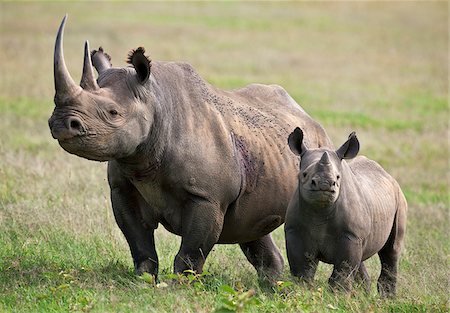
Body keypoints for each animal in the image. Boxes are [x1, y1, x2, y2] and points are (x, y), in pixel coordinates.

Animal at [48, 16, 330, 280]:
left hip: (316, 152)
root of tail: (308, 117)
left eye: (113, 112)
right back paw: (273, 285)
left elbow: (191, 252)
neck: (156, 102)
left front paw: (178, 286)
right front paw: (143, 281)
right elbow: (139, 244)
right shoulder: (122, 187)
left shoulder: (207, 196)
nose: (61, 123)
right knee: (251, 227)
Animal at [284, 126, 408, 294]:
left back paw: (387, 298)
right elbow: (302, 271)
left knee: (391, 251)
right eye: (304, 174)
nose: (325, 184)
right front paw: (303, 292)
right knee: (362, 257)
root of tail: (388, 175)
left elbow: (343, 271)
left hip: (399, 199)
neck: (320, 212)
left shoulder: (351, 235)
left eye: (337, 177)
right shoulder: (295, 232)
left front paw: (339, 295)